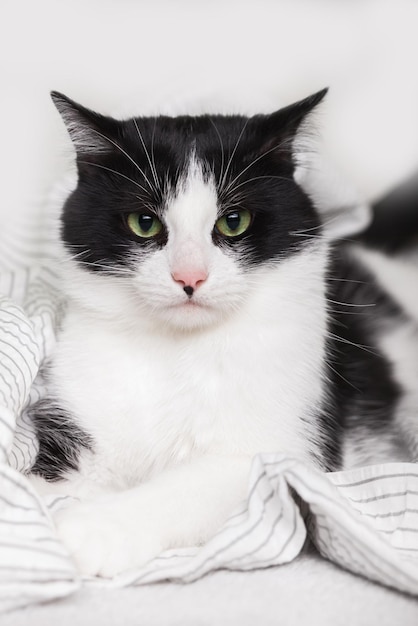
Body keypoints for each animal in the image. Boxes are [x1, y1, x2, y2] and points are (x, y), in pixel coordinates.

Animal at [27, 88, 418, 576]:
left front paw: (90, 529)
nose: (189, 276)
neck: (177, 353)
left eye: (234, 221)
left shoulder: (286, 454)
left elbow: (186, 487)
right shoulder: (84, 419)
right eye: (144, 223)